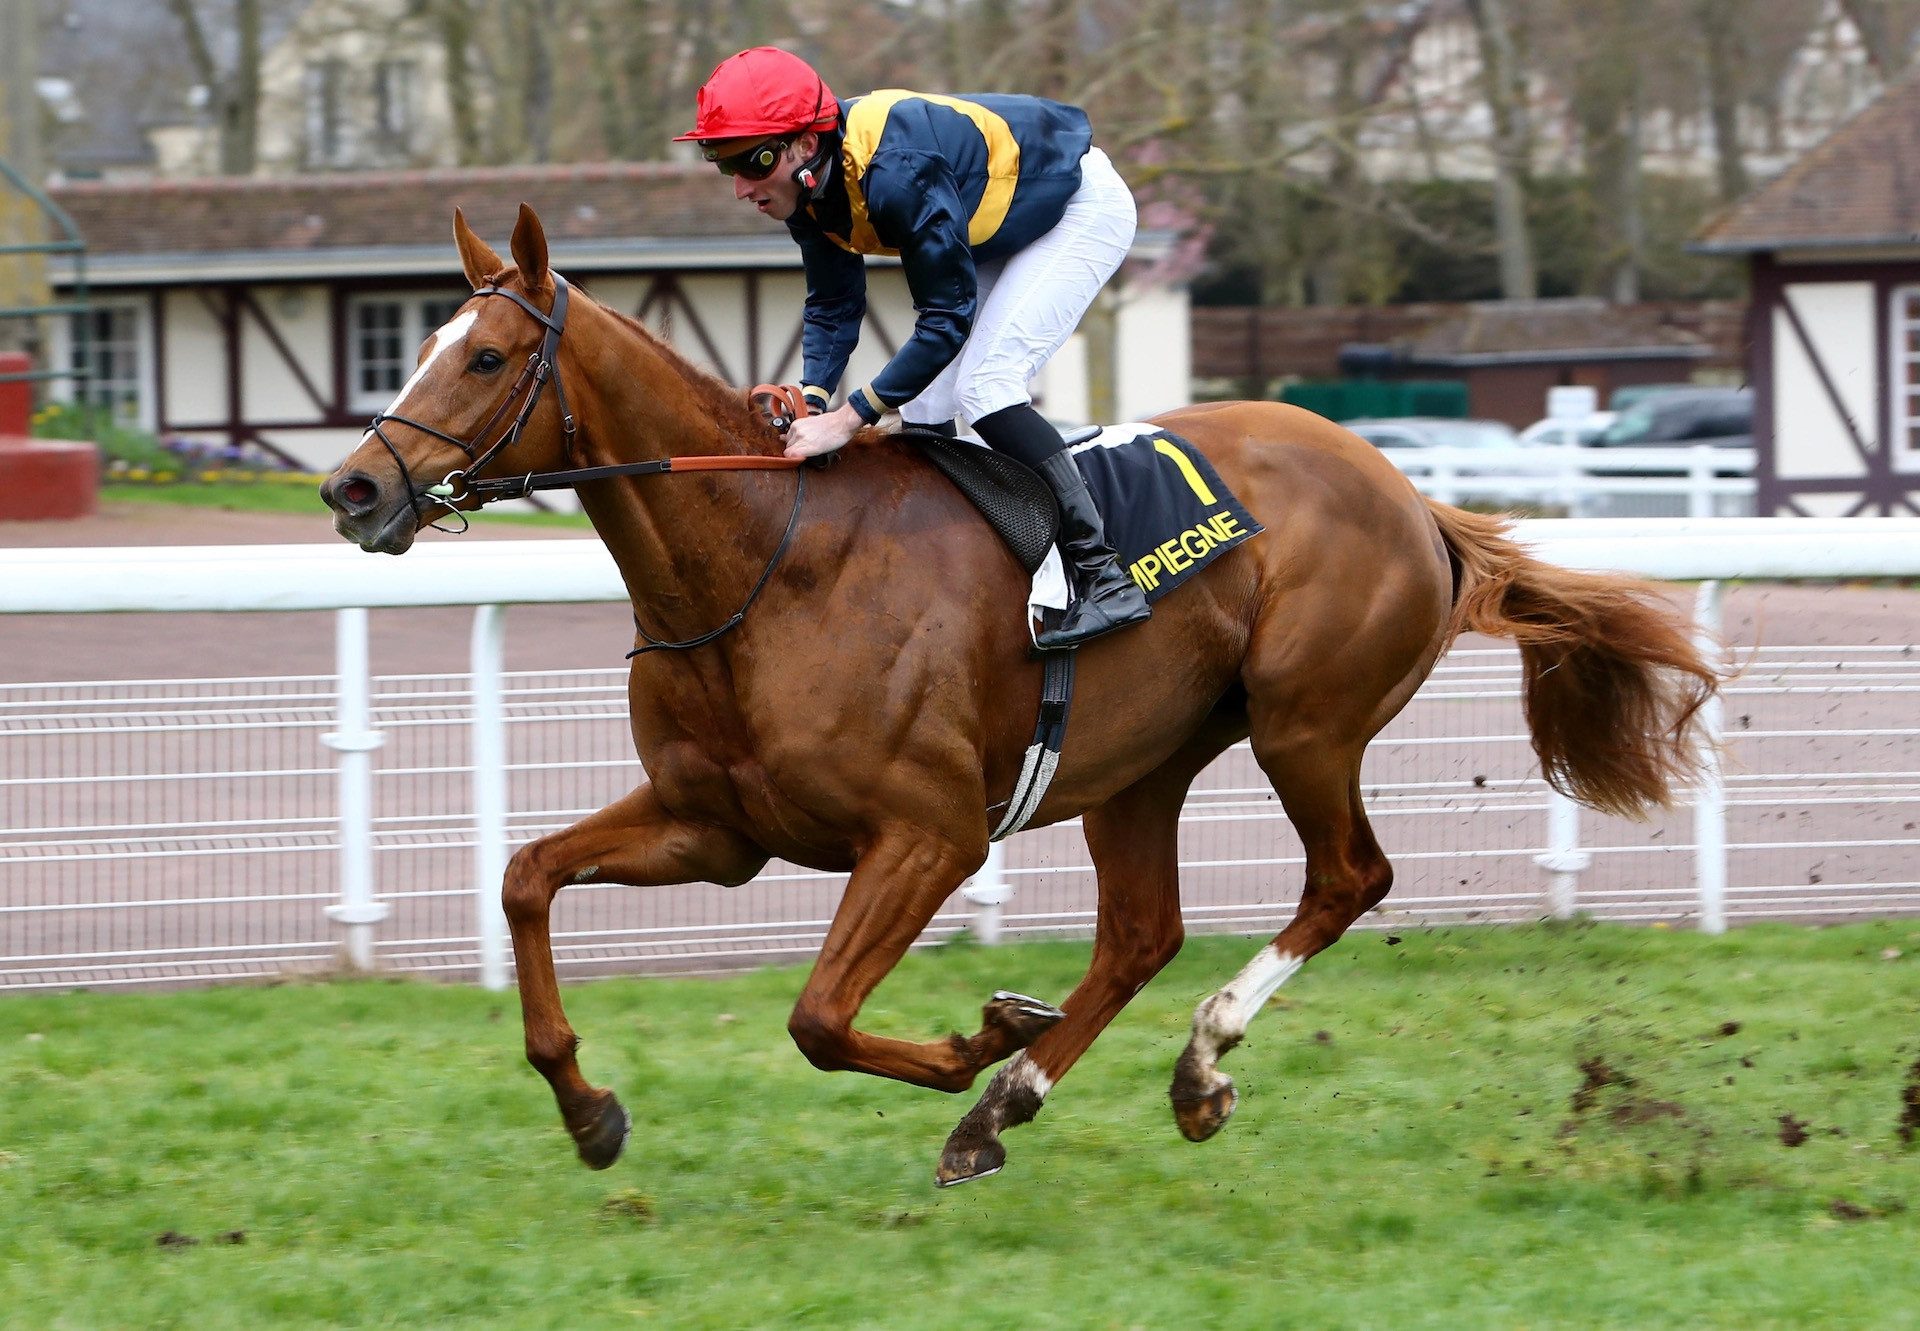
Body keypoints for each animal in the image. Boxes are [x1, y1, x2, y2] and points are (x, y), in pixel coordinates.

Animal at [322, 207, 1720, 1183]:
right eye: (424, 343)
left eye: (486, 355)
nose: (352, 488)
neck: (765, 562)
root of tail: (1410, 493)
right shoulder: (715, 827)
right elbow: (525, 877)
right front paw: (589, 1108)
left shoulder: (927, 831)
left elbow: (820, 1015)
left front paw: (974, 1041)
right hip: (1144, 759)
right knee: (1142, 931)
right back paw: (1021, 1104)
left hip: (1305, 722)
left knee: (1346, 878)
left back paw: (1185, 1063)